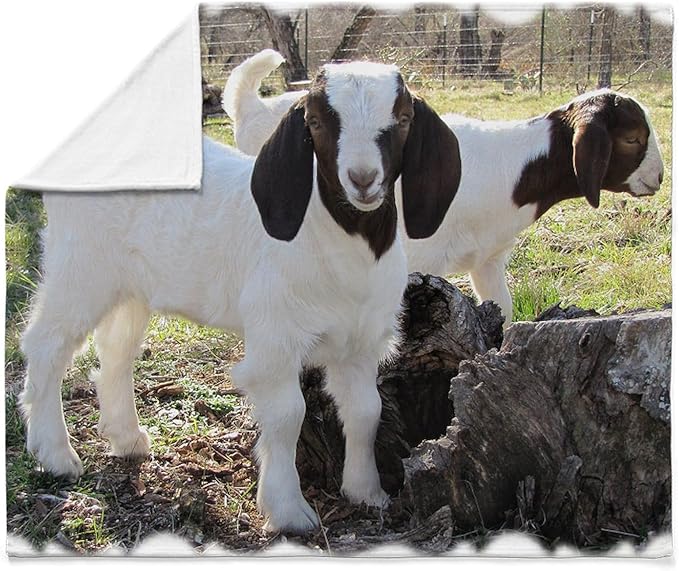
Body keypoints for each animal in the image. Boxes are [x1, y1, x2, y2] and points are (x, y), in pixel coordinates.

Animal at [20, 62, 461, 533]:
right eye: (316, 123)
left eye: (403, 119)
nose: (362, 179)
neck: (340, 236)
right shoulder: (275, 336)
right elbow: (287, 414)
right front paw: (289, 510)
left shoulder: (359, 342)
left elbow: (365, 412)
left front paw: (367, 492)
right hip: (80, 268)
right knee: (47, 345)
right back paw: (56, 455)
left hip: (130, 285)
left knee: (116, 351)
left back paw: (127, 438)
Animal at [224, 51, 665, 325]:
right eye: (632, 139)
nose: (659, 178)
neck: (513, 167)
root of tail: (252, 110)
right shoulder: (417, 255)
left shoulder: (488, 261)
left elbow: (503, 313)